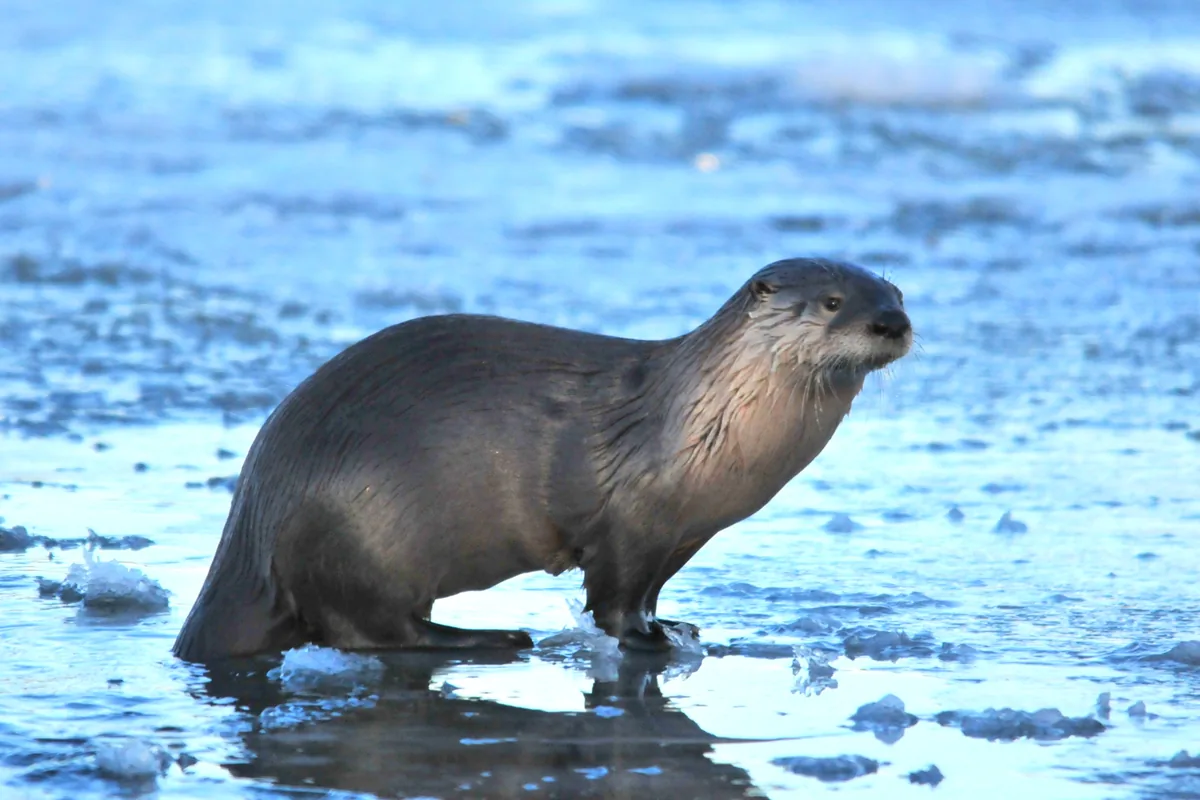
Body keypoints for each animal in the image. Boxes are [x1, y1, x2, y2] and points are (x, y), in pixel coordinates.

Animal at [173, 258, 911, 662]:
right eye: (833, 302)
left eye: (898, 293)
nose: (891, 324)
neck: (701, 422)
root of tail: (253, 519)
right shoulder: (631, 520)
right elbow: (613, 599)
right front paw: (646, 640)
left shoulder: (683, 534)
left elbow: (651, 592)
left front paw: (672, 624)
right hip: (355, 529)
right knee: (367, 629)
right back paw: (492, 638)